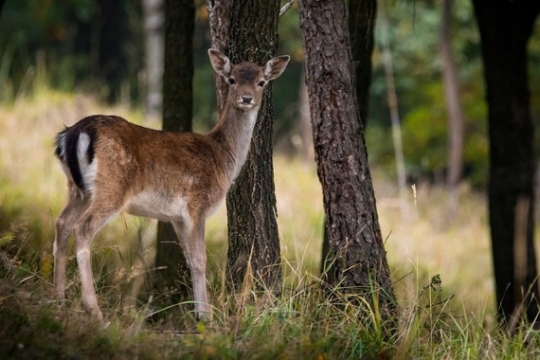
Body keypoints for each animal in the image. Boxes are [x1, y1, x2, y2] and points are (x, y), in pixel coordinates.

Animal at [53, 49, 292, 320]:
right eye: (231, 79)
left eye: (261, 82)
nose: (246, 97)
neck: (224, 158)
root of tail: (74, 133)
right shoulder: (198, 205)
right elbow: (200, 259)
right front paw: (206, 317)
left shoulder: (176, 217)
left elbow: (188, 258)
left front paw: (199, 312)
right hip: (112, 188)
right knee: (83, 228)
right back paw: (94, 309)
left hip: (77, 188)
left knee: (62, 223)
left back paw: (58, 299)